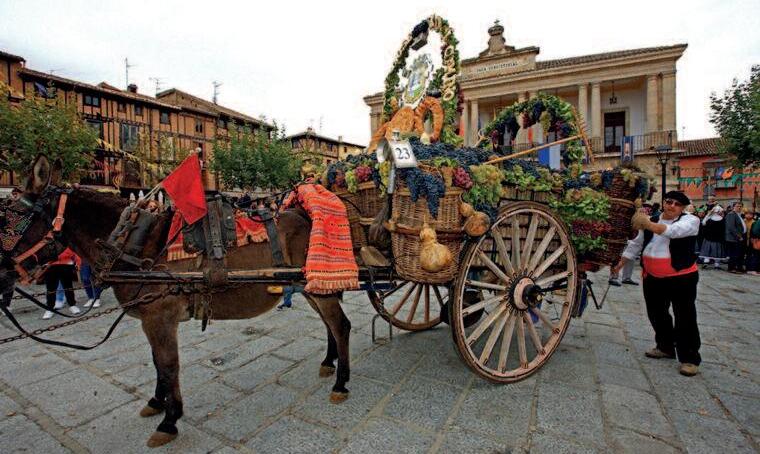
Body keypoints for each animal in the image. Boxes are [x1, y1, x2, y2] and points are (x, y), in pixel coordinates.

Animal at [0, 155, 352, 447]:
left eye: (12, 216)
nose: (1, 273)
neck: (133, 242)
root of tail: (307, 214)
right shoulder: (151, 321)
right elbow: (158, 363)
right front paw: (157, 403)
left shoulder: (160, 318)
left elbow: (169, 365)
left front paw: (170, 420)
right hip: (309, 285)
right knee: (328, 324)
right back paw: (328, 362)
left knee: (340, 325)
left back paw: (341, 382)